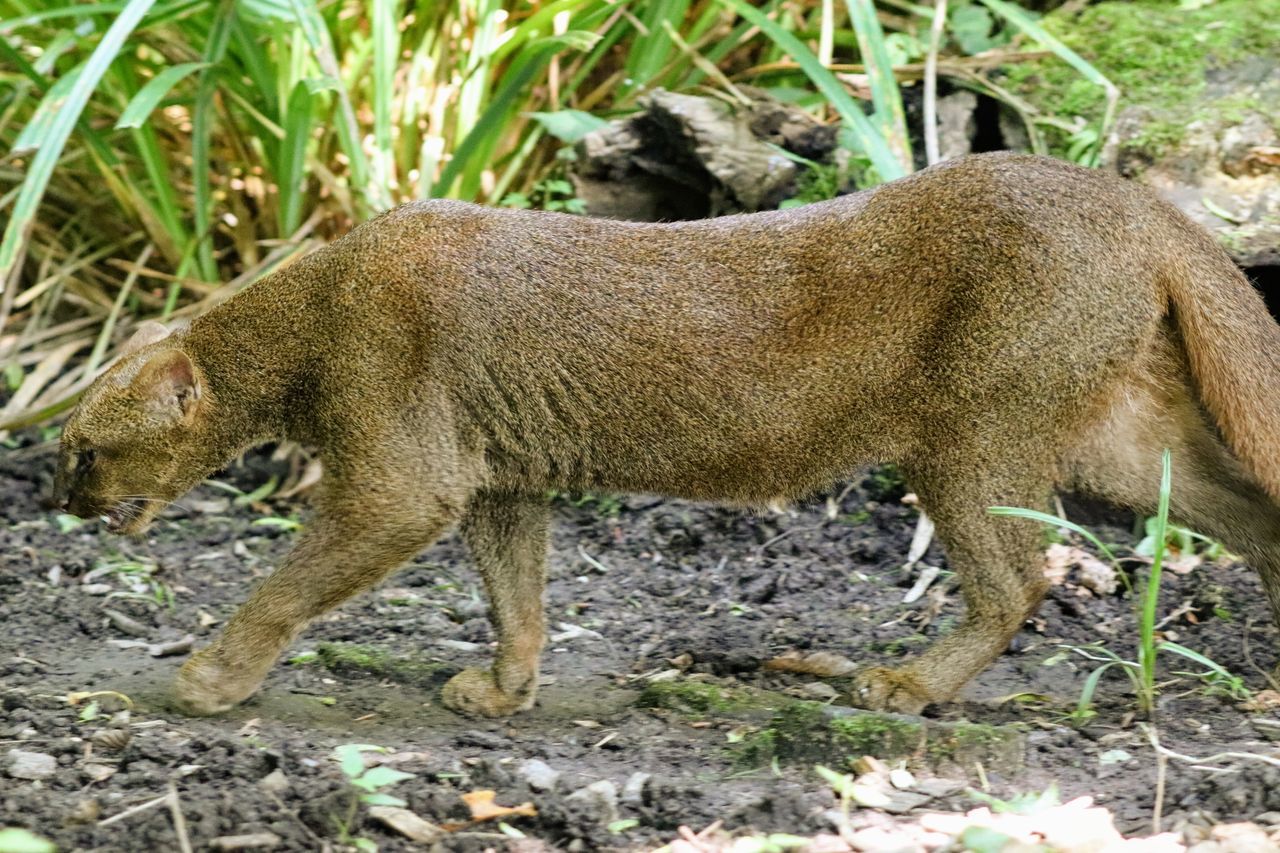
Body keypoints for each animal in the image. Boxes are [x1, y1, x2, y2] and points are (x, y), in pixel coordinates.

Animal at [55, 154, 1280, 717]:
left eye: (79, 448)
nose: (61, 502)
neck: (312, 305)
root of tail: (1130, 198)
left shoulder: (405, 472)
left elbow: (289, 579)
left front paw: (211, 677)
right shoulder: (497, 473)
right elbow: (517, 592)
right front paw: (504, 690)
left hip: (973, 430)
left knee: (1016, 578)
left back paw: (901, 683)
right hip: (1122, 430)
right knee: (1251, 505)